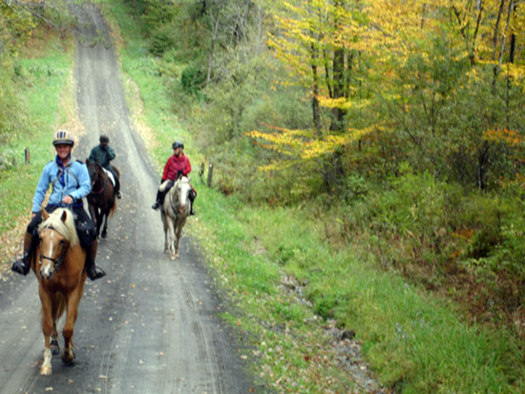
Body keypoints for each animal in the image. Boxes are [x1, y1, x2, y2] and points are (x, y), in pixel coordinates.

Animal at [29, 208, 90, 374]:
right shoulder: (44, 291)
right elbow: (47, 324)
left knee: (72, 316)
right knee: (54, 316)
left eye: (61, 241)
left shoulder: (73, 291)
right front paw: (46, 362)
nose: (45, 272)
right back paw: (55, 343)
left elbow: (68, 327)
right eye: (40, 238)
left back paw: (70, 347)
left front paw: (68, 355)